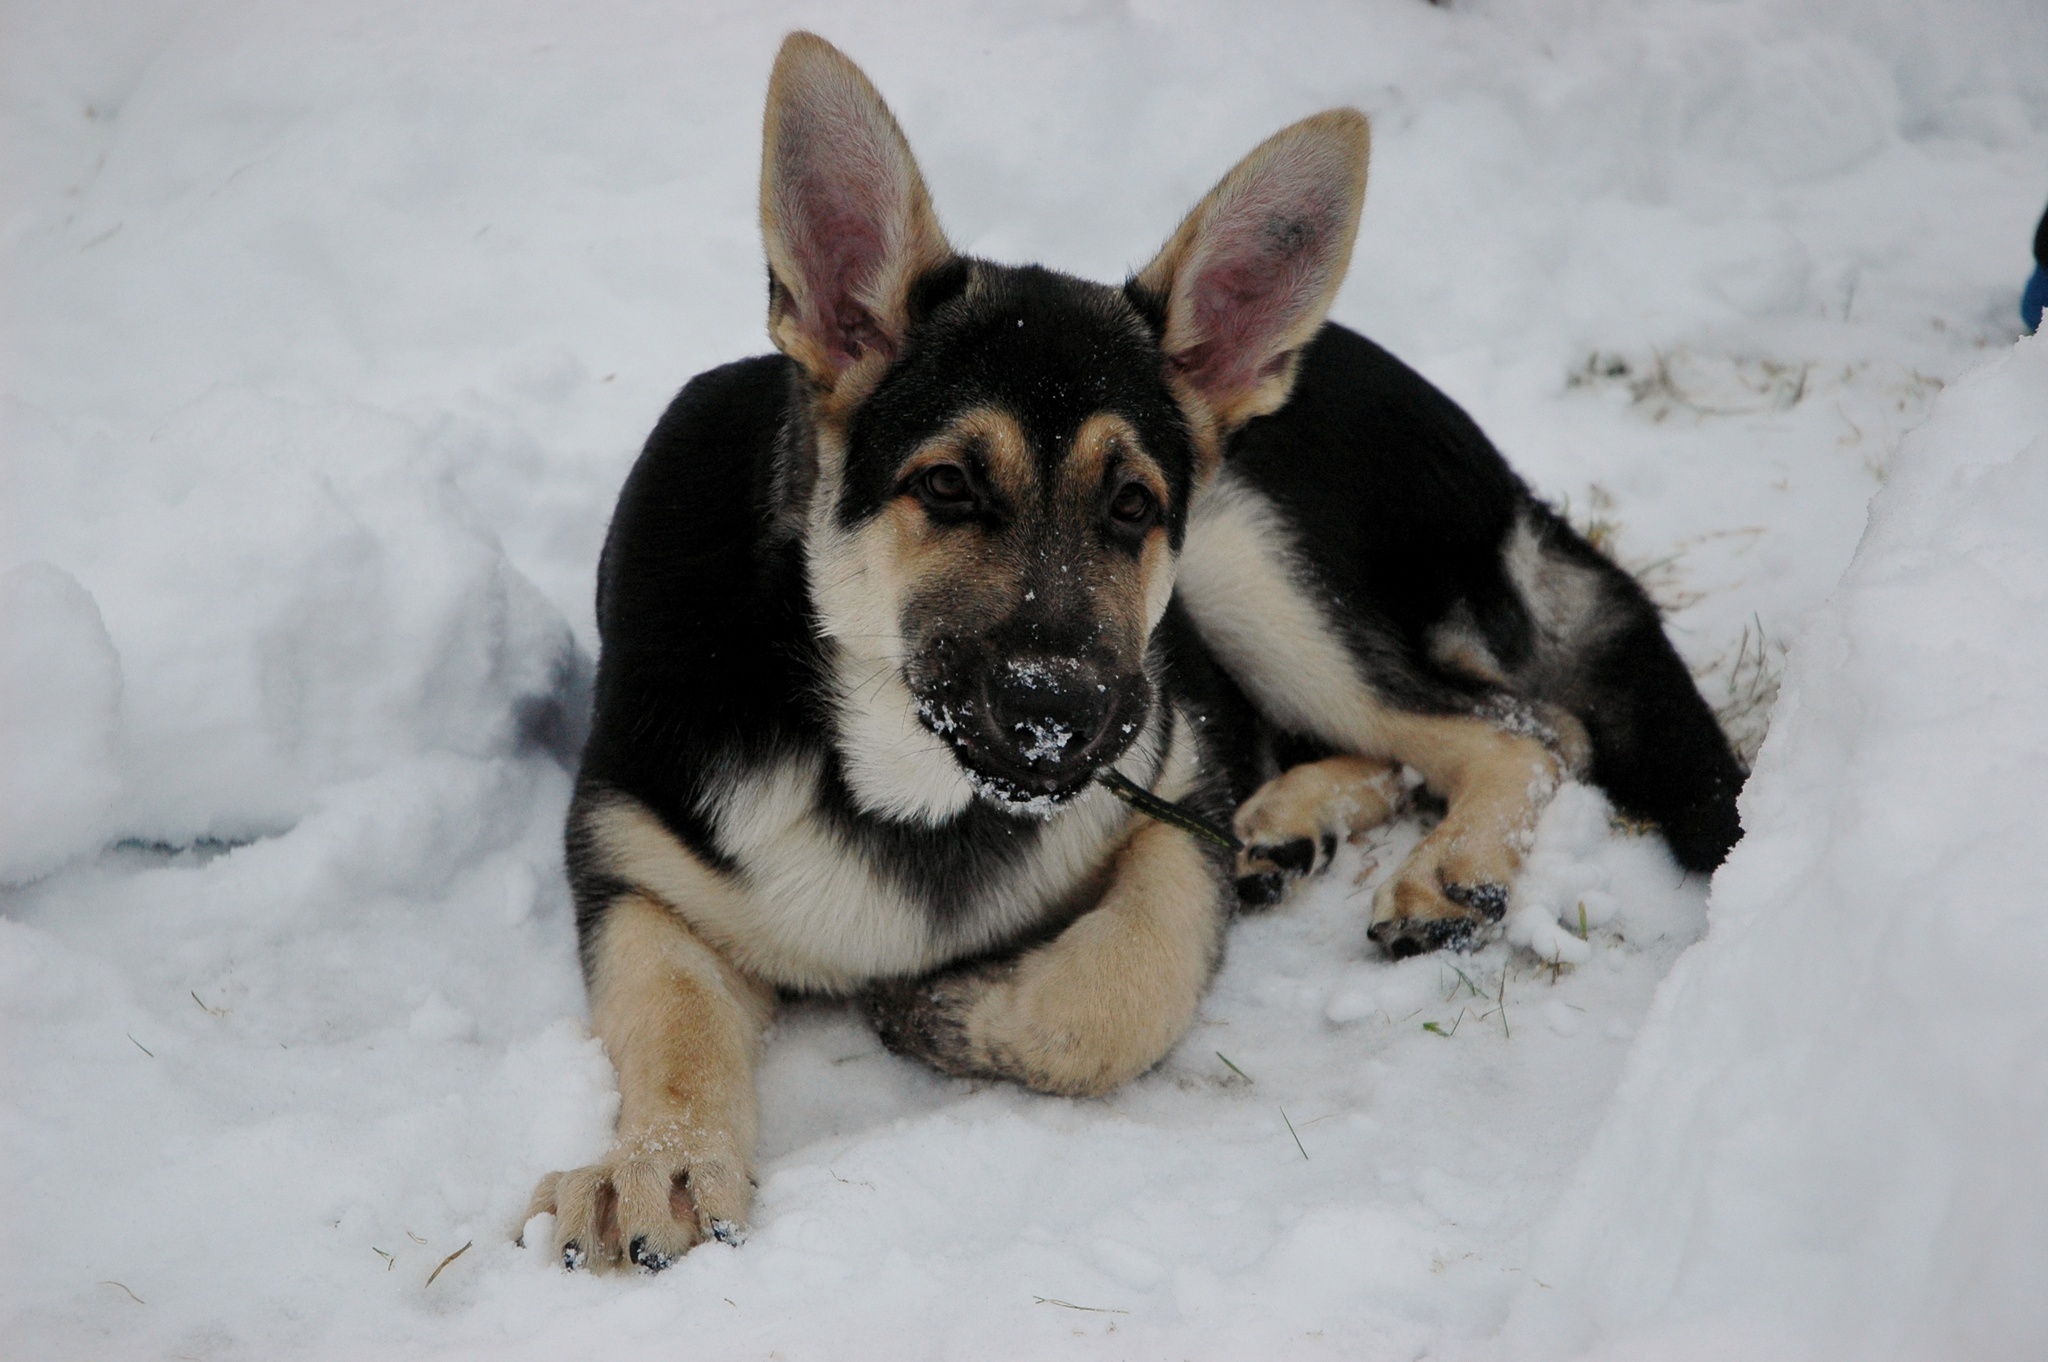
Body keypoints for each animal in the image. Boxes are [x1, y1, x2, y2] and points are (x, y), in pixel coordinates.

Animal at [524, 31, 1744, 1269]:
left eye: (1130, 506)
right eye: (946, 486)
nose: (1057, 719)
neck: (899, 777)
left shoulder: (1168, 770)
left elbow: (1127, 979)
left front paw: (953, 1010)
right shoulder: (633, 866)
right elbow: (672, 1020)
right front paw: (661, 1161)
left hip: (1253, 555)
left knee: (1526, 725)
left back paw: (1440, 866)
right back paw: (1286, 827)